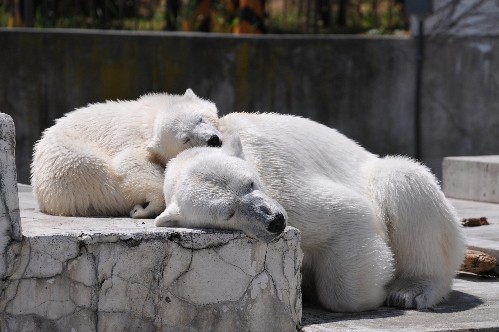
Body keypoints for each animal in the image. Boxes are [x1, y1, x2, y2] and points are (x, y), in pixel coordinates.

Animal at [29, 89, 221, 218]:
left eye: (200, 119)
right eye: (185, 139)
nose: (213, 140)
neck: (152, 114)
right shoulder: (132, 140)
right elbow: (131, 162)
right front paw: (145, 207)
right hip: (73, 168)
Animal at [155, 113, 464, 312]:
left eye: (250, 183)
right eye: (228, 213)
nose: (274, 221)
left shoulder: (282, 184)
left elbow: (347, 214)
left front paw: (374, 293)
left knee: (404, 180)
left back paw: (410, 290)